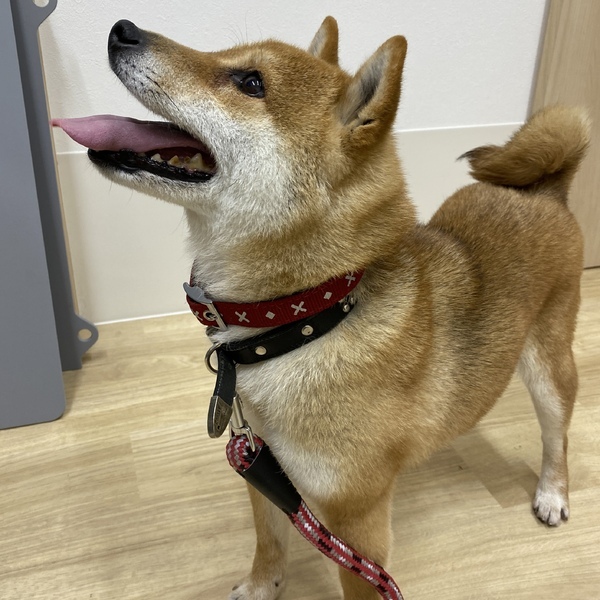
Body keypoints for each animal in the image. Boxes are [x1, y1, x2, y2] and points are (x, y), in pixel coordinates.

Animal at [53, 16, 590, 600]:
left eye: (250, 83)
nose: (122, 28)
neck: (309, 318)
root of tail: (545, 191)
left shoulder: (357, 520)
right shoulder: (261, 463)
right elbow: (269, 545)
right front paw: (261, 588)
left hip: (548, 366)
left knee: (556, 434)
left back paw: (553, 493)